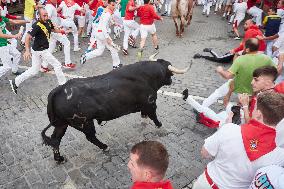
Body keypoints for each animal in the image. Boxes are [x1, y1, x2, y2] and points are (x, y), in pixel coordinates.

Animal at [41, 59, 187, 162]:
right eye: (169, 72)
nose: (171, 81)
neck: (147, 76)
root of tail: (59, 89)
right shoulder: (150, 103)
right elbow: (154, 115)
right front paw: (159, 125)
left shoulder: (144, 106)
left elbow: (145, 115)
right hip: (84, 122)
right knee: (90, 137)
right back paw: (105, 147)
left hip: (62, 124)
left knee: (55, 139)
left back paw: (59, 159)